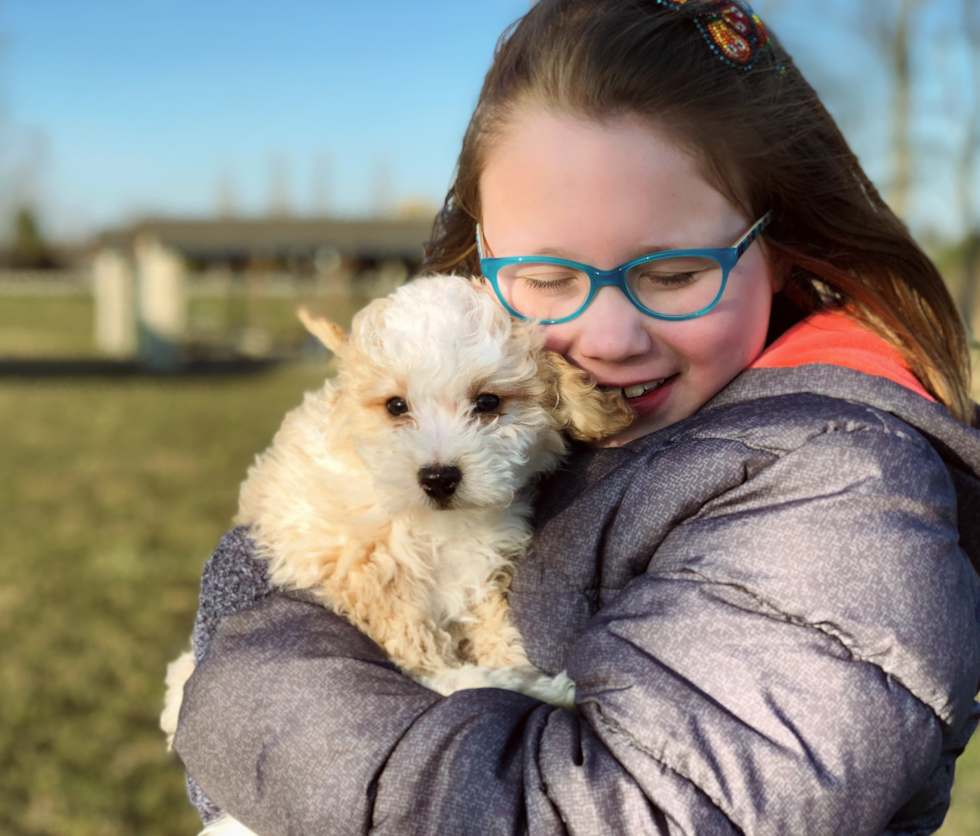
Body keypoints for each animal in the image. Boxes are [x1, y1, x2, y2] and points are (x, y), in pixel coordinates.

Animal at [165, 276, 632, 836]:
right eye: (395, 406)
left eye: (488, 401)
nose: (438, 477)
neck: (435, 525)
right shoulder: (376, 585)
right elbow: (442, 675)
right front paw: (542, 688)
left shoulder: (480, 575)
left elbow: (493, 637)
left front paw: (522, 673)